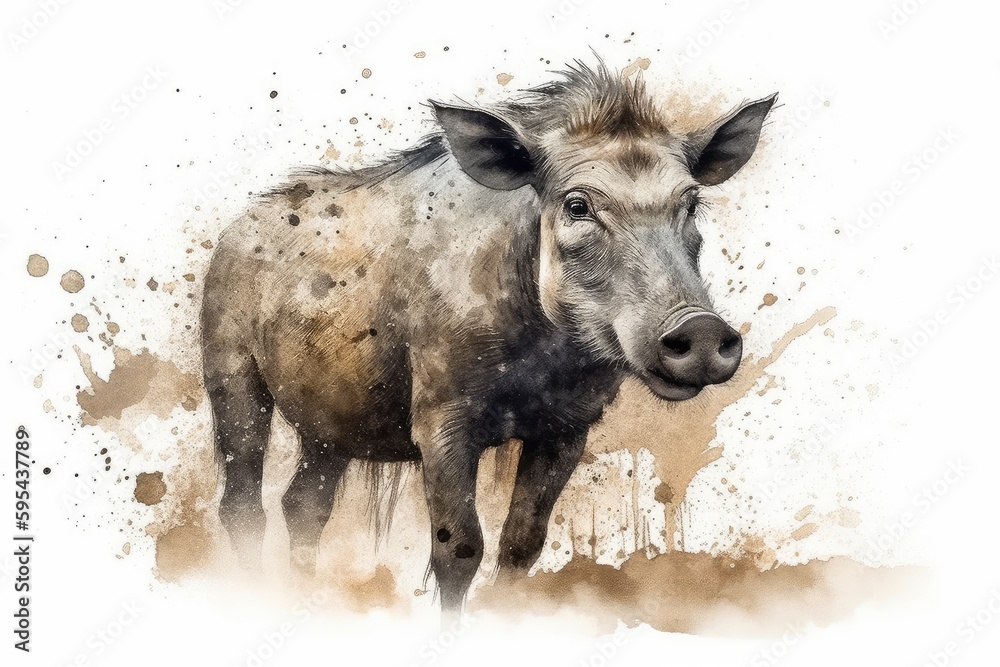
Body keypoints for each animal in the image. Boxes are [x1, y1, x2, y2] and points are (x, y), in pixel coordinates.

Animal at [201, 60, 775, 613]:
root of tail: (232, 231)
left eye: (692, 202)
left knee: (303, 505)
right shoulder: (441, 420)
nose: (701, 328)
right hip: (231, 377)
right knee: (242, 504)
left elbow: (523, 542)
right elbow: (459, 548)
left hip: (332, 423)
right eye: (578, 205)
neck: (541, 357)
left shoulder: (569, 427)